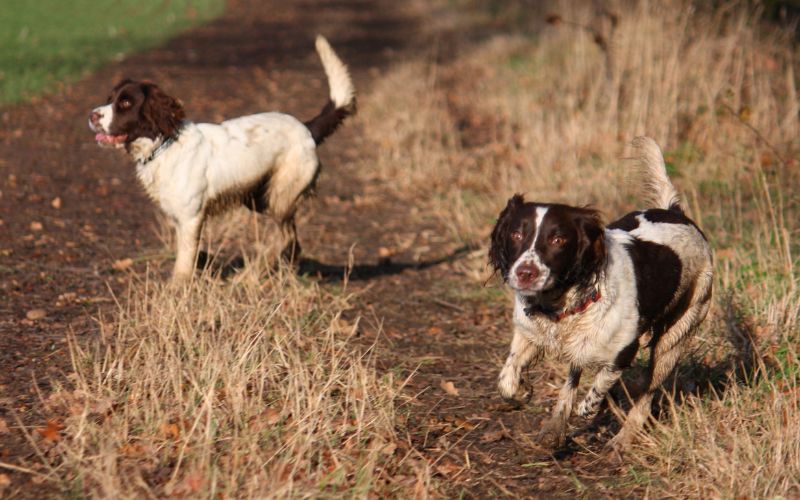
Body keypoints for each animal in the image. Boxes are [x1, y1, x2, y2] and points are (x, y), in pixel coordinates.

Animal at [85, 36, 356, 282]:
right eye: (110, 98)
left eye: (126, 103)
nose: (92, 115)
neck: (164, 145)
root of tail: (307, 128)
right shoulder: (178, 218)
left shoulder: (191, 218)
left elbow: (183, 264)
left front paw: (176, 292)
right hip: (258, 198)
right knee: (291, 242)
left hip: (279, 196)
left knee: (285, 238)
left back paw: (248, 277)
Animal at [488, 137, 712, 454]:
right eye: (517, 235)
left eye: (558, 239)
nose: (525, 273)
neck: (560, 304)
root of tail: (675, 212)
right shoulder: (530, 331)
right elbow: (508, 378)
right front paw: (521, 391)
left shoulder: (623, 350)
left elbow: (600, 386)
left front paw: (592, 408)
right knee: (571, 381)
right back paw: (555, 428)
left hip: (676, 335)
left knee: (646, 396)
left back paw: (622, 440)